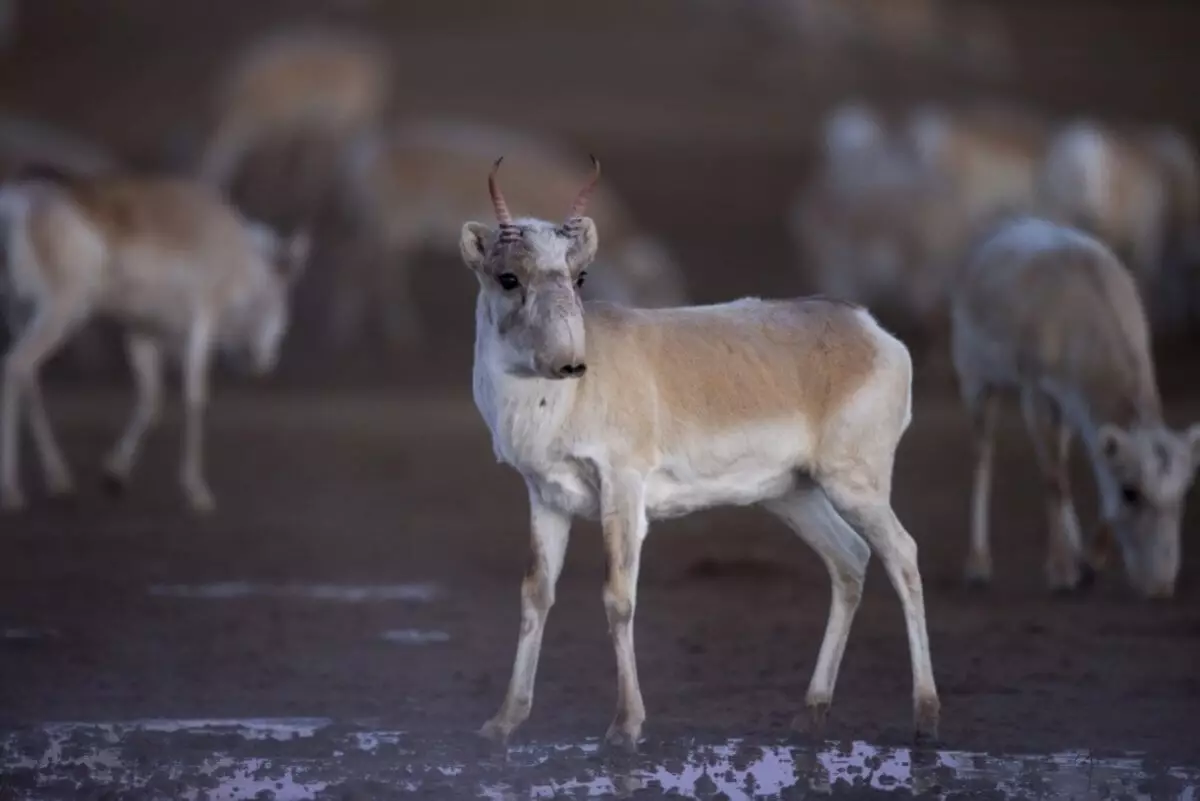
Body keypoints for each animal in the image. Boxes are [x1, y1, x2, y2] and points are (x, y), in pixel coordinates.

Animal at [0, 167, 312, 513]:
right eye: (282, 297)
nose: (266, 362)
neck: (239, 259)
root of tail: (17, 205)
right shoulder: (200, 323)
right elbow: (194, 398)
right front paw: (197, 492)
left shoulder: (143, 333)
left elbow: (152, 400)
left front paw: (114, 475)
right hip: (62, 309)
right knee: (15, 366)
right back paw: (12, 491)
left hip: (24, 313)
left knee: (28, 376)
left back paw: (60, 480)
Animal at [463, 158, 940, 753]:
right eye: (509, 277)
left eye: (579, 276)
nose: (569, 364)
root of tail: (868, 328)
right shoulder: (546, 498)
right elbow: (536, 594)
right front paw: (502, 721)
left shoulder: (623, 489)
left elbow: (618, 597)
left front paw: (625, 726)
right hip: (794, 496)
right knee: (850, 559)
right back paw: (811, 713)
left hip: (855, 486)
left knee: (903, 555)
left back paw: (925, 718)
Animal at [950, 215, 1195, 597]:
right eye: (1131, 493)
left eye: (1183, 493)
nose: (1160, 587)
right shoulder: (1036, 393)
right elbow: (1053, 479)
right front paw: (1062, 571)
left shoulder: (1078, 409)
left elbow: (1084, 469)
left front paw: (1089, 563)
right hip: (976, 382)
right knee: (983, 457)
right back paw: (978, 565)